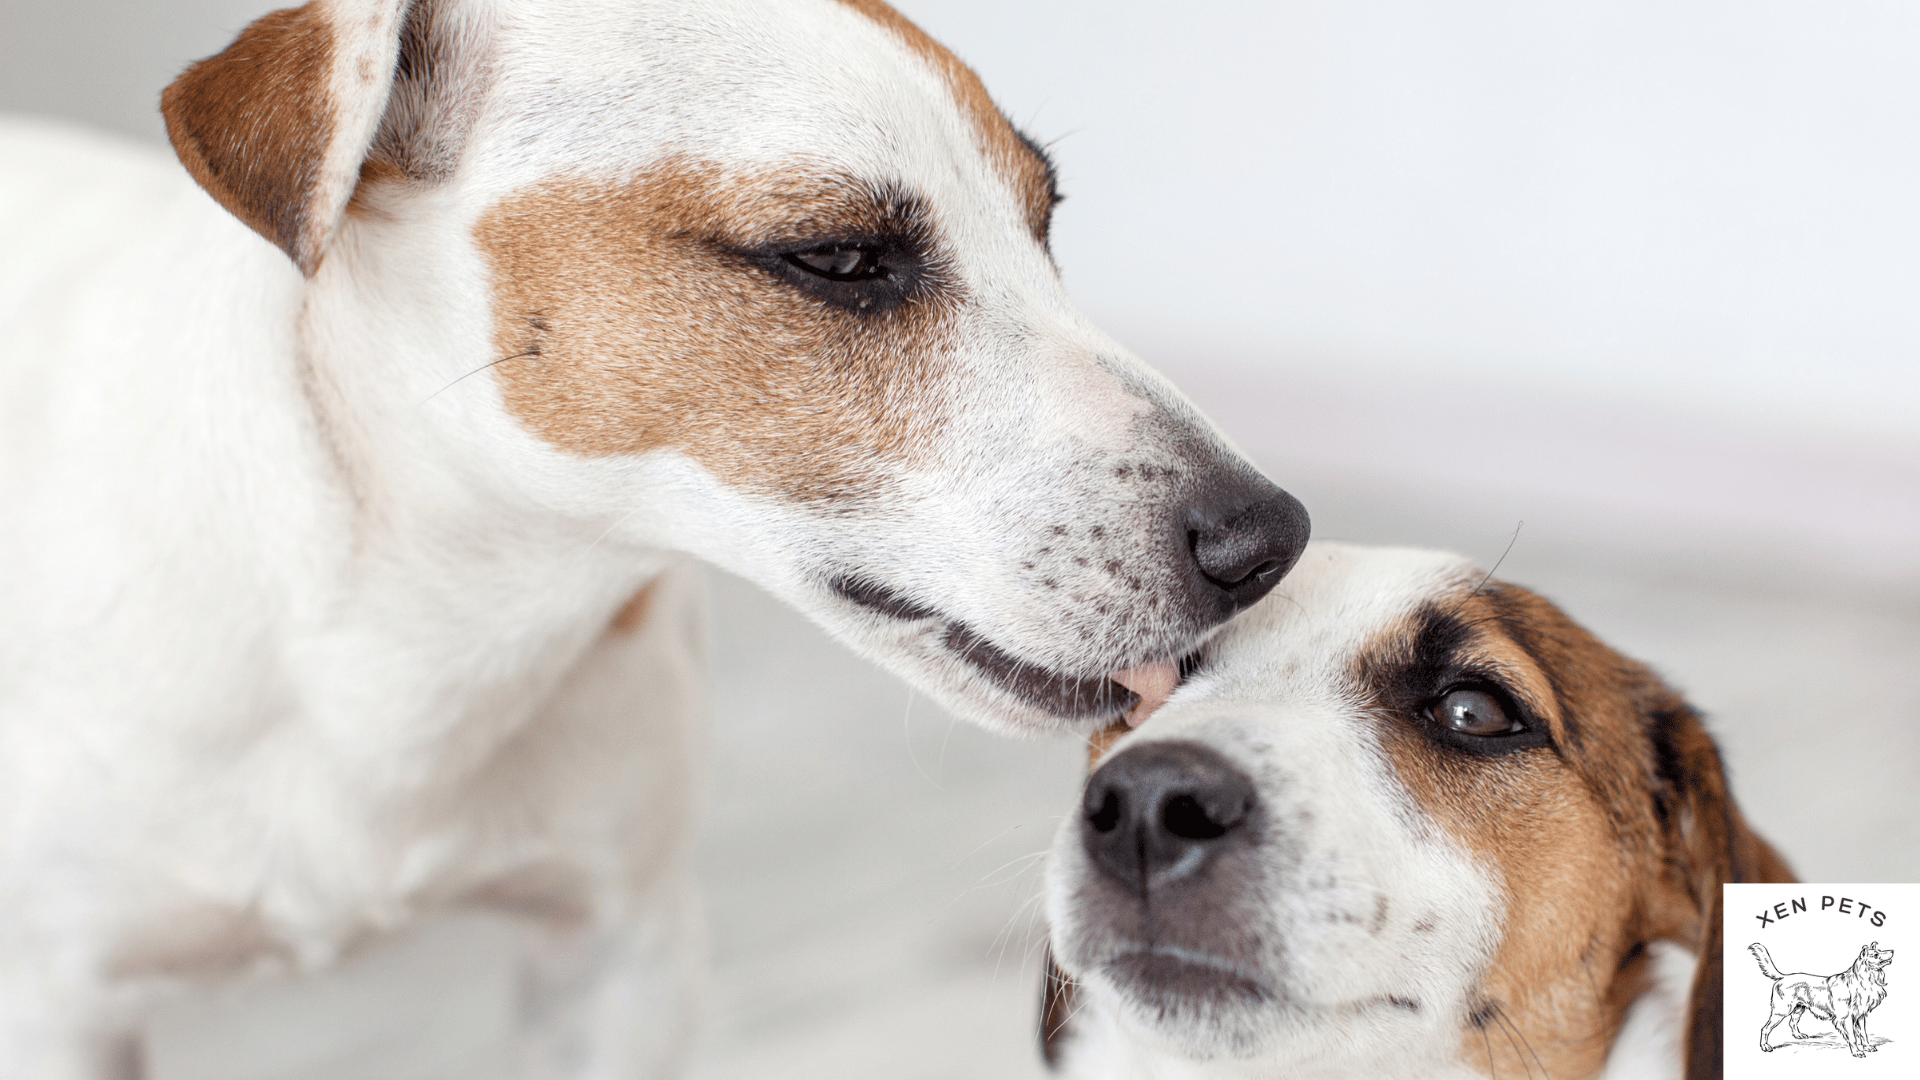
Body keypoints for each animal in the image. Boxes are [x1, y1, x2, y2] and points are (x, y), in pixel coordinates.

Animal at [1758, 941, 1889, 1053]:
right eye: (1876, 954)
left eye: (1879, 951)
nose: (1892, 951)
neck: (1860, 981)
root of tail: (1783, 977)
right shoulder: (1845, 1018)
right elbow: (1853, 1037)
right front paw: (1857, 1052)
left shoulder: (1860, 1016)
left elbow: (1863, 1034)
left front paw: (1867, 1047)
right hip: (1781, 1011)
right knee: (1765, 1029)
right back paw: (1765, 1046)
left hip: (1799, 1008)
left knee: (1792, 1022)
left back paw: (1798, 1035)